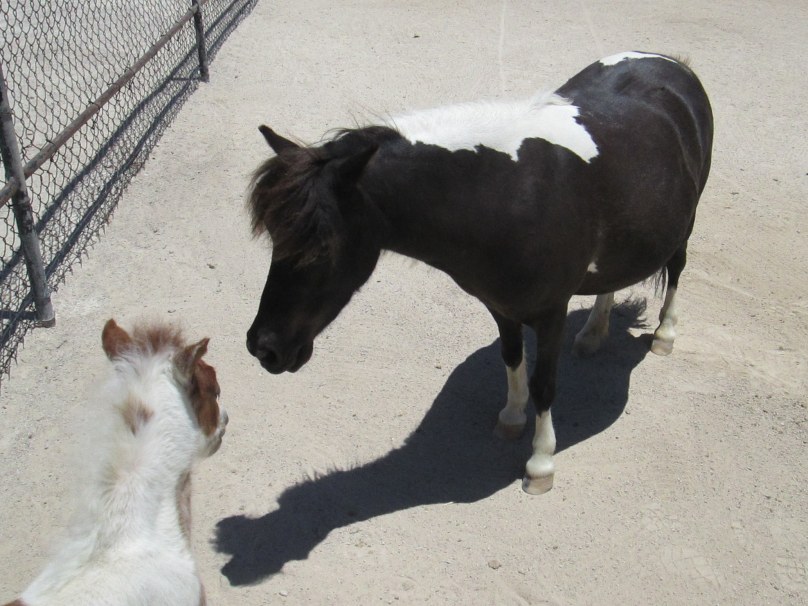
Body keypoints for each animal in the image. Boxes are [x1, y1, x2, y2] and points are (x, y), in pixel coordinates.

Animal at [245, 51, 713, 494]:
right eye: (274, 236)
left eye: (322, 246)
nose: (263, 348)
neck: (506, 195)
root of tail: (672, 66)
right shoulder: (501, 307)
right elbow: (511, 358)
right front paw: (511, 418)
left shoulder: (551, 312)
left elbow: (544, 384)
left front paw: (540, 463)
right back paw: (594, 334)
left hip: (684, 227)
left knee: (676, 269)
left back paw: (664, 335)